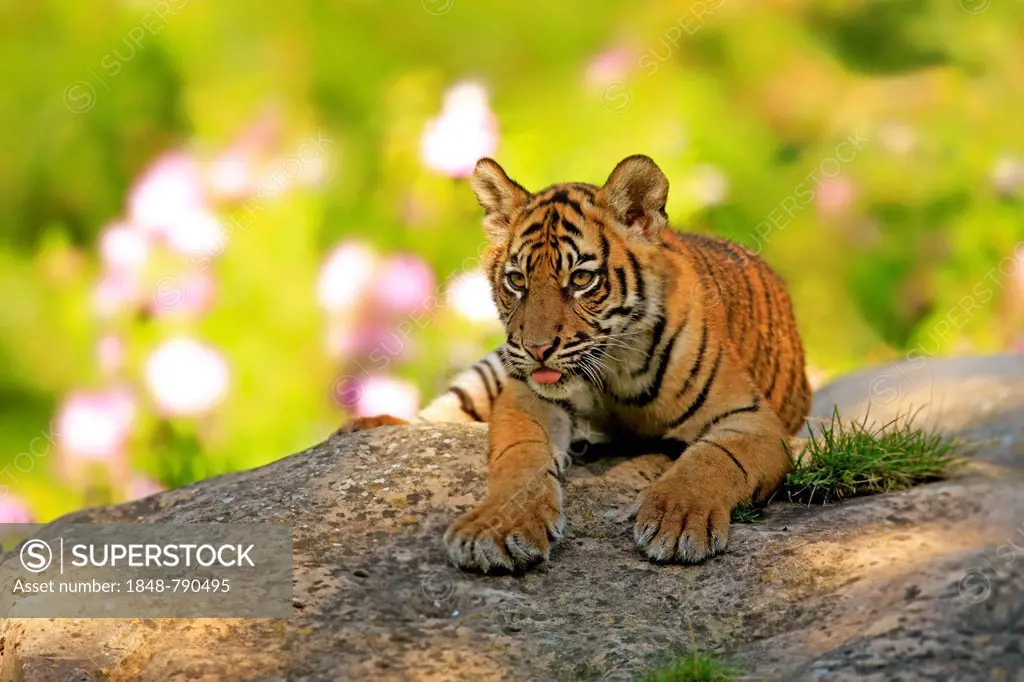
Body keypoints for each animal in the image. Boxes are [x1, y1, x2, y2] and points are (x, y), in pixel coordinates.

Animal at [339, 153, 811, 569]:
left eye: (582, 279)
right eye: (517, 281)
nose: (536, 348)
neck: (616, 371)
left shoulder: (751, 419)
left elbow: (710, 460)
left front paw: (678, 519)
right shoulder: (527, 397)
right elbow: (519, 457)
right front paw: (498, 529)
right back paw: (369, 425)